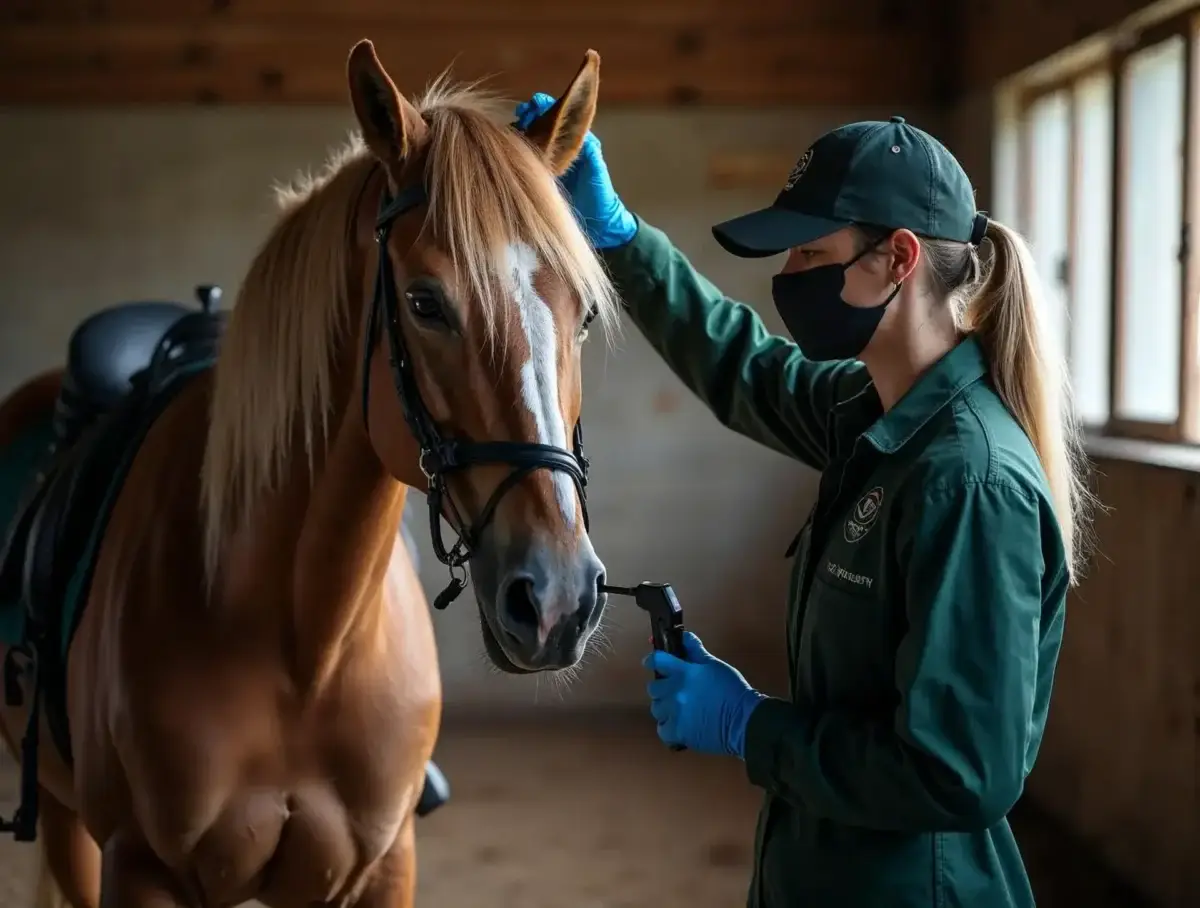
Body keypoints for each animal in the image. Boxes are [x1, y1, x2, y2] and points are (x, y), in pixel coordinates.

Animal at [0, 39, 619, 907]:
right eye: (425, 304)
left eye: (584, 314)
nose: (559, 599)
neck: (301, 643)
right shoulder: (139, 866)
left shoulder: (381, 867)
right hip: (65, 822)